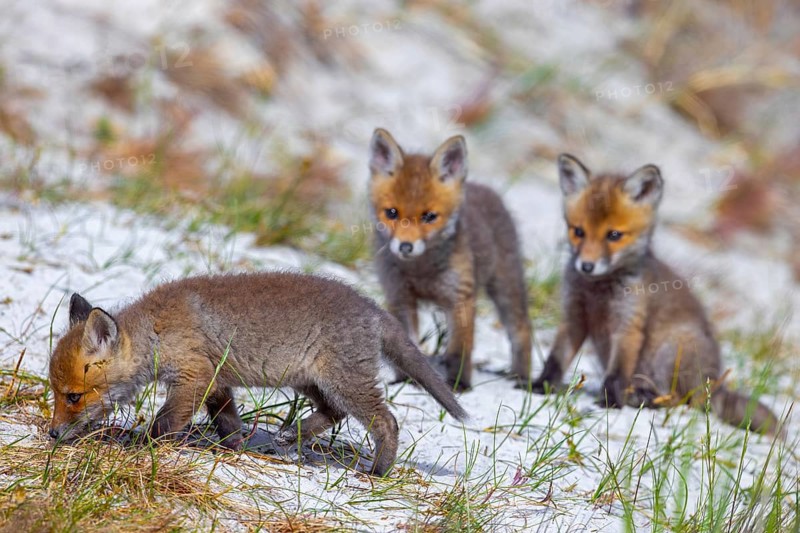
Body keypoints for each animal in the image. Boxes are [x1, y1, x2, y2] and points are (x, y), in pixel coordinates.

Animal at [47, 272, 466, 476]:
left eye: (73, 396)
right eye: (56, 394)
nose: (52, 433)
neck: (158, 330)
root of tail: (374, 310)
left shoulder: (194, 377)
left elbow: (165, 422)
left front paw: (139, 446)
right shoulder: (216, 380)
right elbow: (227, 420)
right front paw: (233, 448)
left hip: (344, 383)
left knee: (386, 422)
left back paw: (378, 472)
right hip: (312, 382)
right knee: (334, 414)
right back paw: (290, 435)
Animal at [368, 128, 533, 391]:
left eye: (429, 216)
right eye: (392, 212)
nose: (406, 246)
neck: (421, 271)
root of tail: (484, 188)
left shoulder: (460, 297)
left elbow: (460, 348)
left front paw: (459, 383)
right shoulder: (399, 296)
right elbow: (406, 344)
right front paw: (406, 380)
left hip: (506, 288)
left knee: (522, 330)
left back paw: (521, 378)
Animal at [531, 153, 782, 436]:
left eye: (614, 235)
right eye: (578, 232)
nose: (586, 266)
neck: (598, 289)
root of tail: (714, 383)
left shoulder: (629, 324)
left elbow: (617, 373)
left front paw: (610, 402)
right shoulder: (574, 316)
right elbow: (556, 359)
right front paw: (541, 385)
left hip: (670, 351)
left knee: (685, 402)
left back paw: (646, 399)